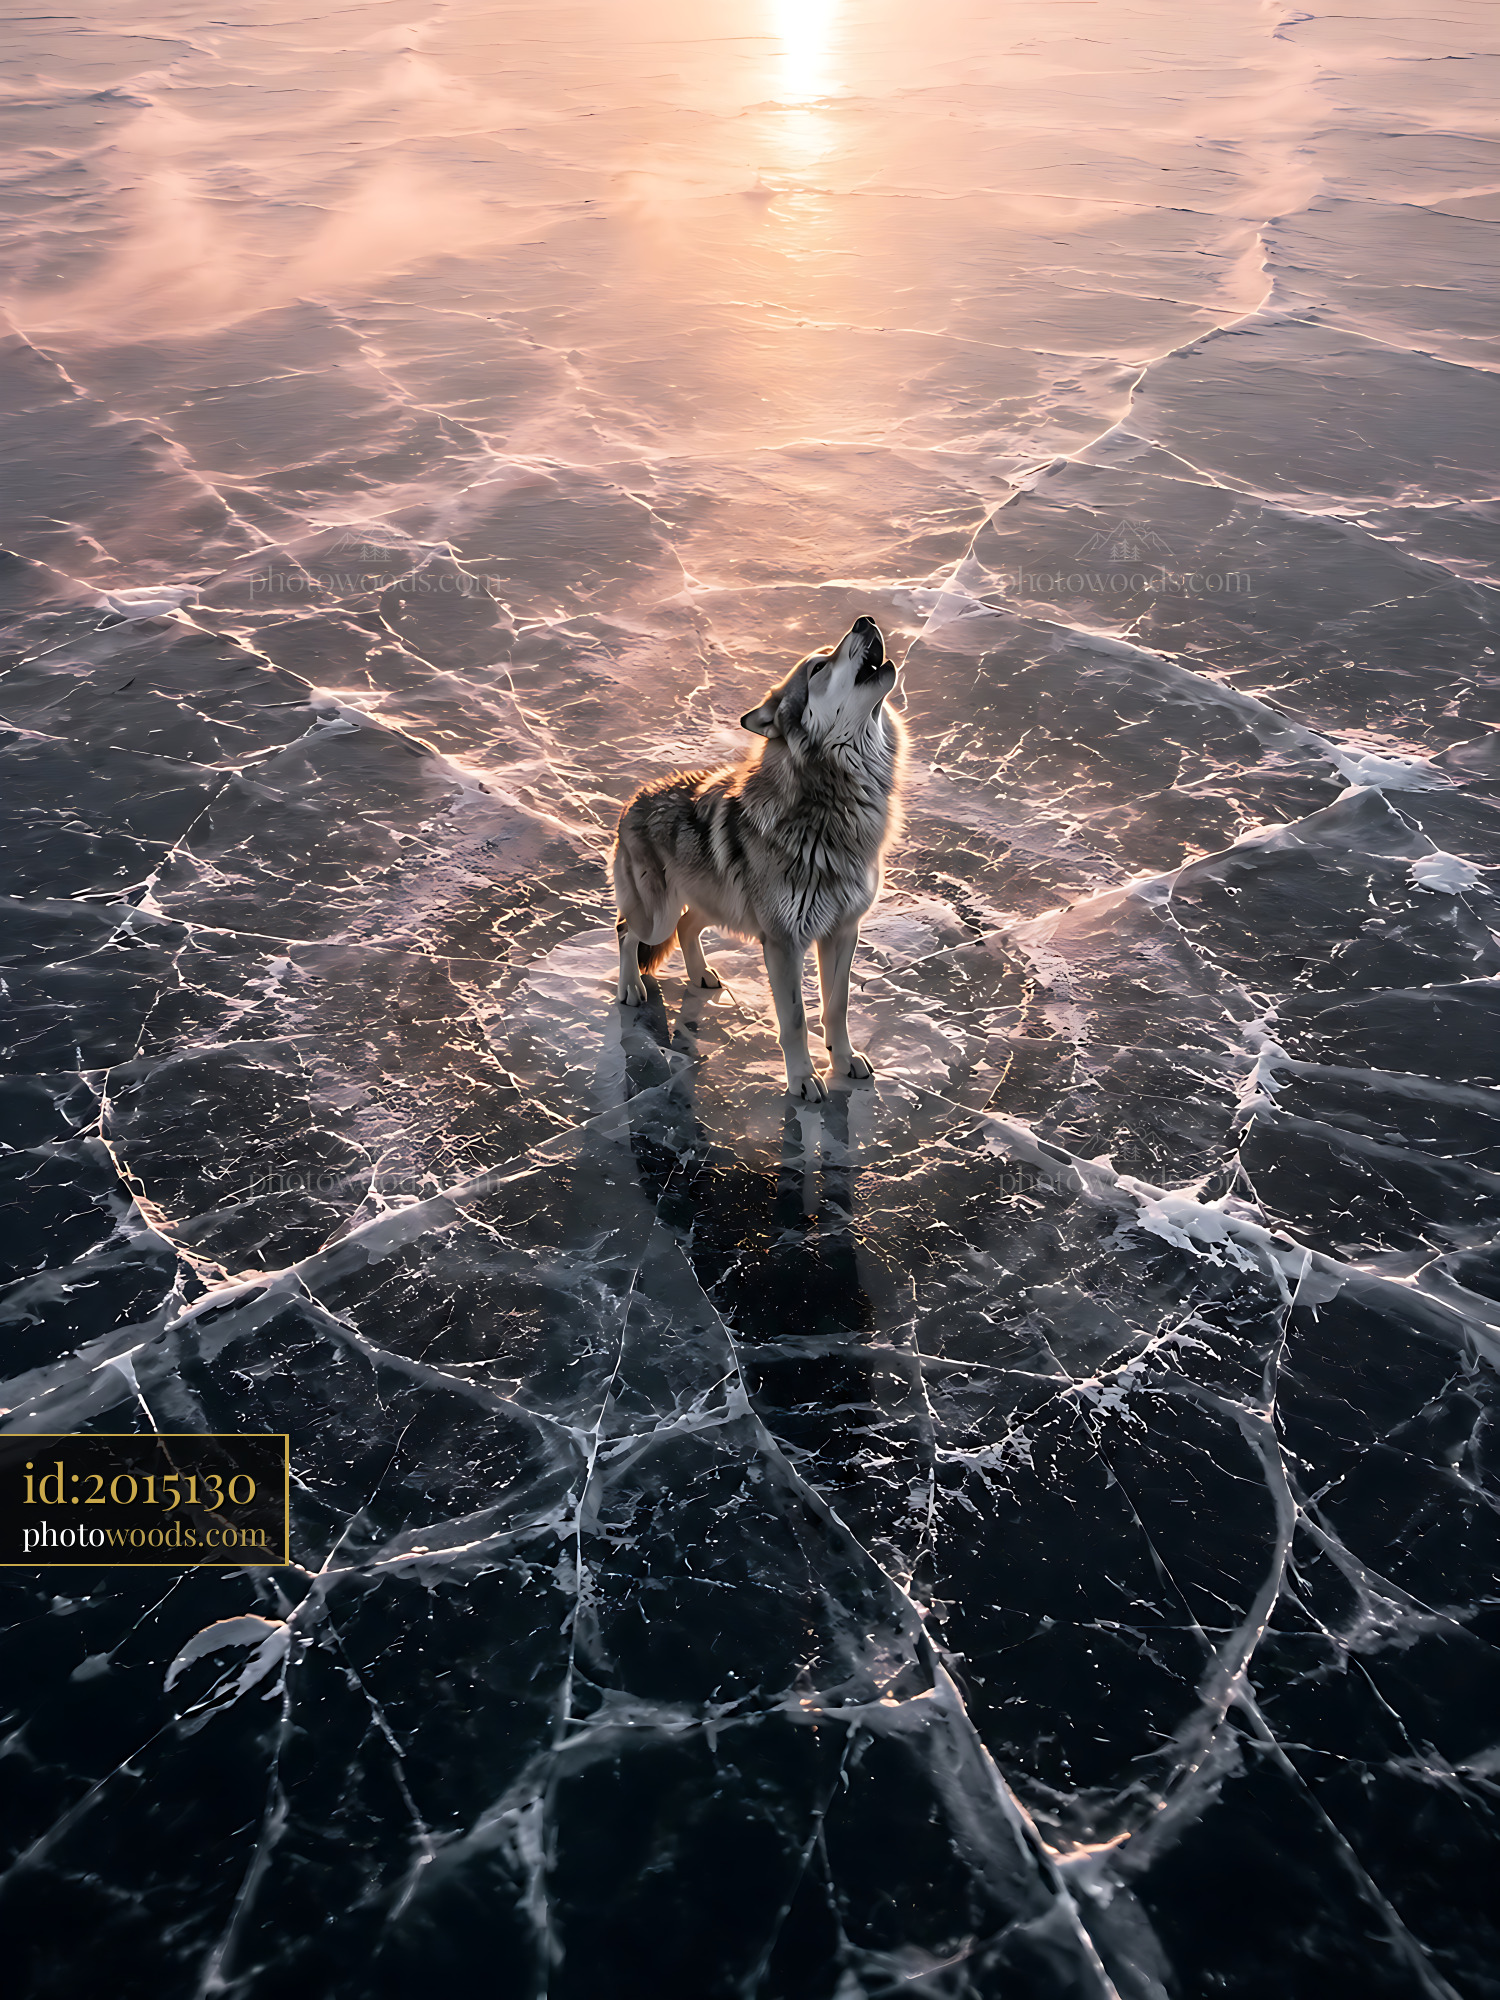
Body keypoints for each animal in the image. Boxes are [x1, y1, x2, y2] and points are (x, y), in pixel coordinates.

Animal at [612, 615, 907, 1101]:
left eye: (826, 656)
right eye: (819, 667)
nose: (864, 620)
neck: (833, 808)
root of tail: (634, 798)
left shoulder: (844, 930)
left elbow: (837, 1007)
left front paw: (843, 1061)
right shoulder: (784, 942)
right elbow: (796, 1019)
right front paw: (803, 1079)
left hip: (715, 905)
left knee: (686, 926)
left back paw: (701, 974)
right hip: (657, 915)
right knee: (624, 930)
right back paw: (631, 988)